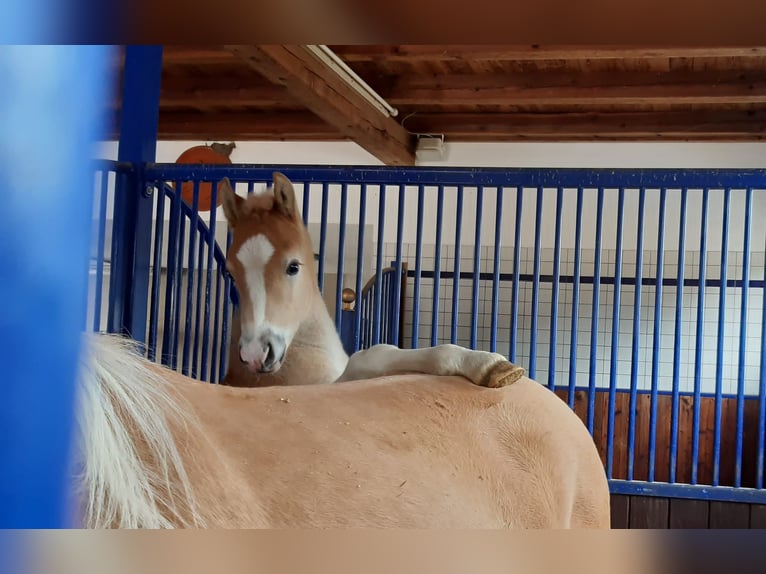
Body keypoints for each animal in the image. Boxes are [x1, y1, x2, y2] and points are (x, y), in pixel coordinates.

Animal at [72, 172, 612, 532]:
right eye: (232, 269)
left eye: (293, 265)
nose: (256, 353)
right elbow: (373, 354)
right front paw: (485, 364)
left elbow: (375, 354)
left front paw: (482, 362)